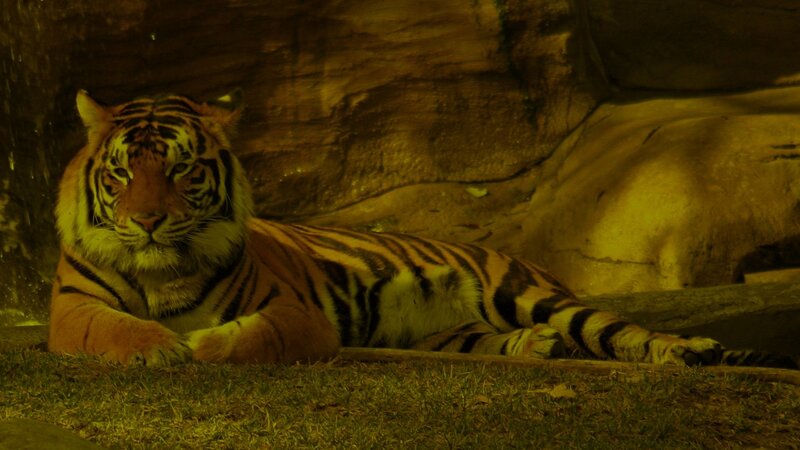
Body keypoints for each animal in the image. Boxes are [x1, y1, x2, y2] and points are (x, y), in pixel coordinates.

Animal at [48, 90, 798, 369]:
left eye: (179, 170)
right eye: (122, 173)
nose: (147, 221)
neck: (163, 269)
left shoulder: (290, 312)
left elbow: (247, 335)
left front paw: (200, 344)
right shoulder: (72, 309)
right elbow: (114, 329)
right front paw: (159, 346)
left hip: (529, 292)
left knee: (623, 331)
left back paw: (688, 350)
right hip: (454, 331)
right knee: (500, 341)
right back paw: (536, 348)